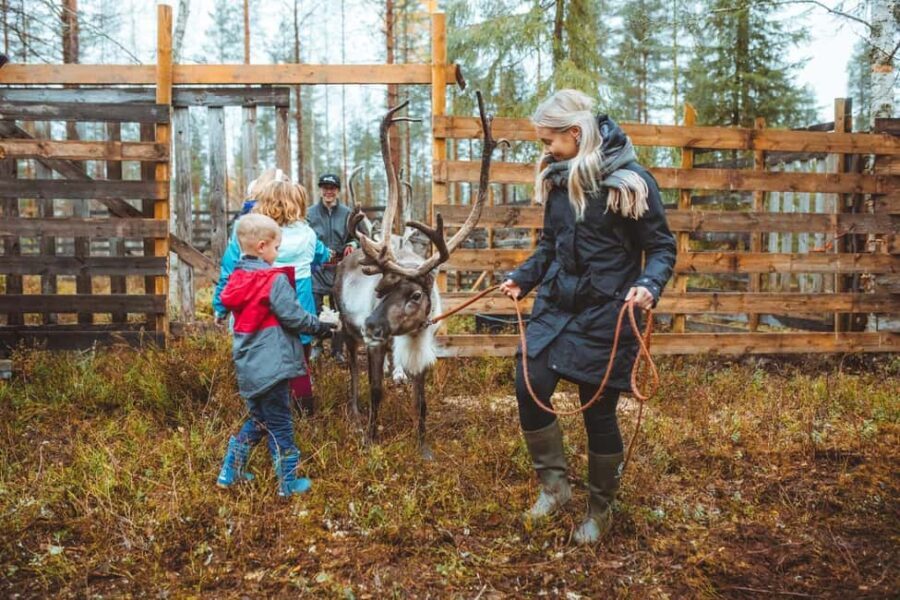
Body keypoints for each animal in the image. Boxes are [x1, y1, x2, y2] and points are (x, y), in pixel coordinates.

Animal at [334, 92, 502, 459]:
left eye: (415, 295)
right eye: (380, 290)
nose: (372, 324)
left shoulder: (422, 342)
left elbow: (421, 401)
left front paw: (423, 447)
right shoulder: (375, 343)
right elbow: (375, 391)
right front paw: (370, 438)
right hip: (348, 329)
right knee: (352, 369)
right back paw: (354, 412)